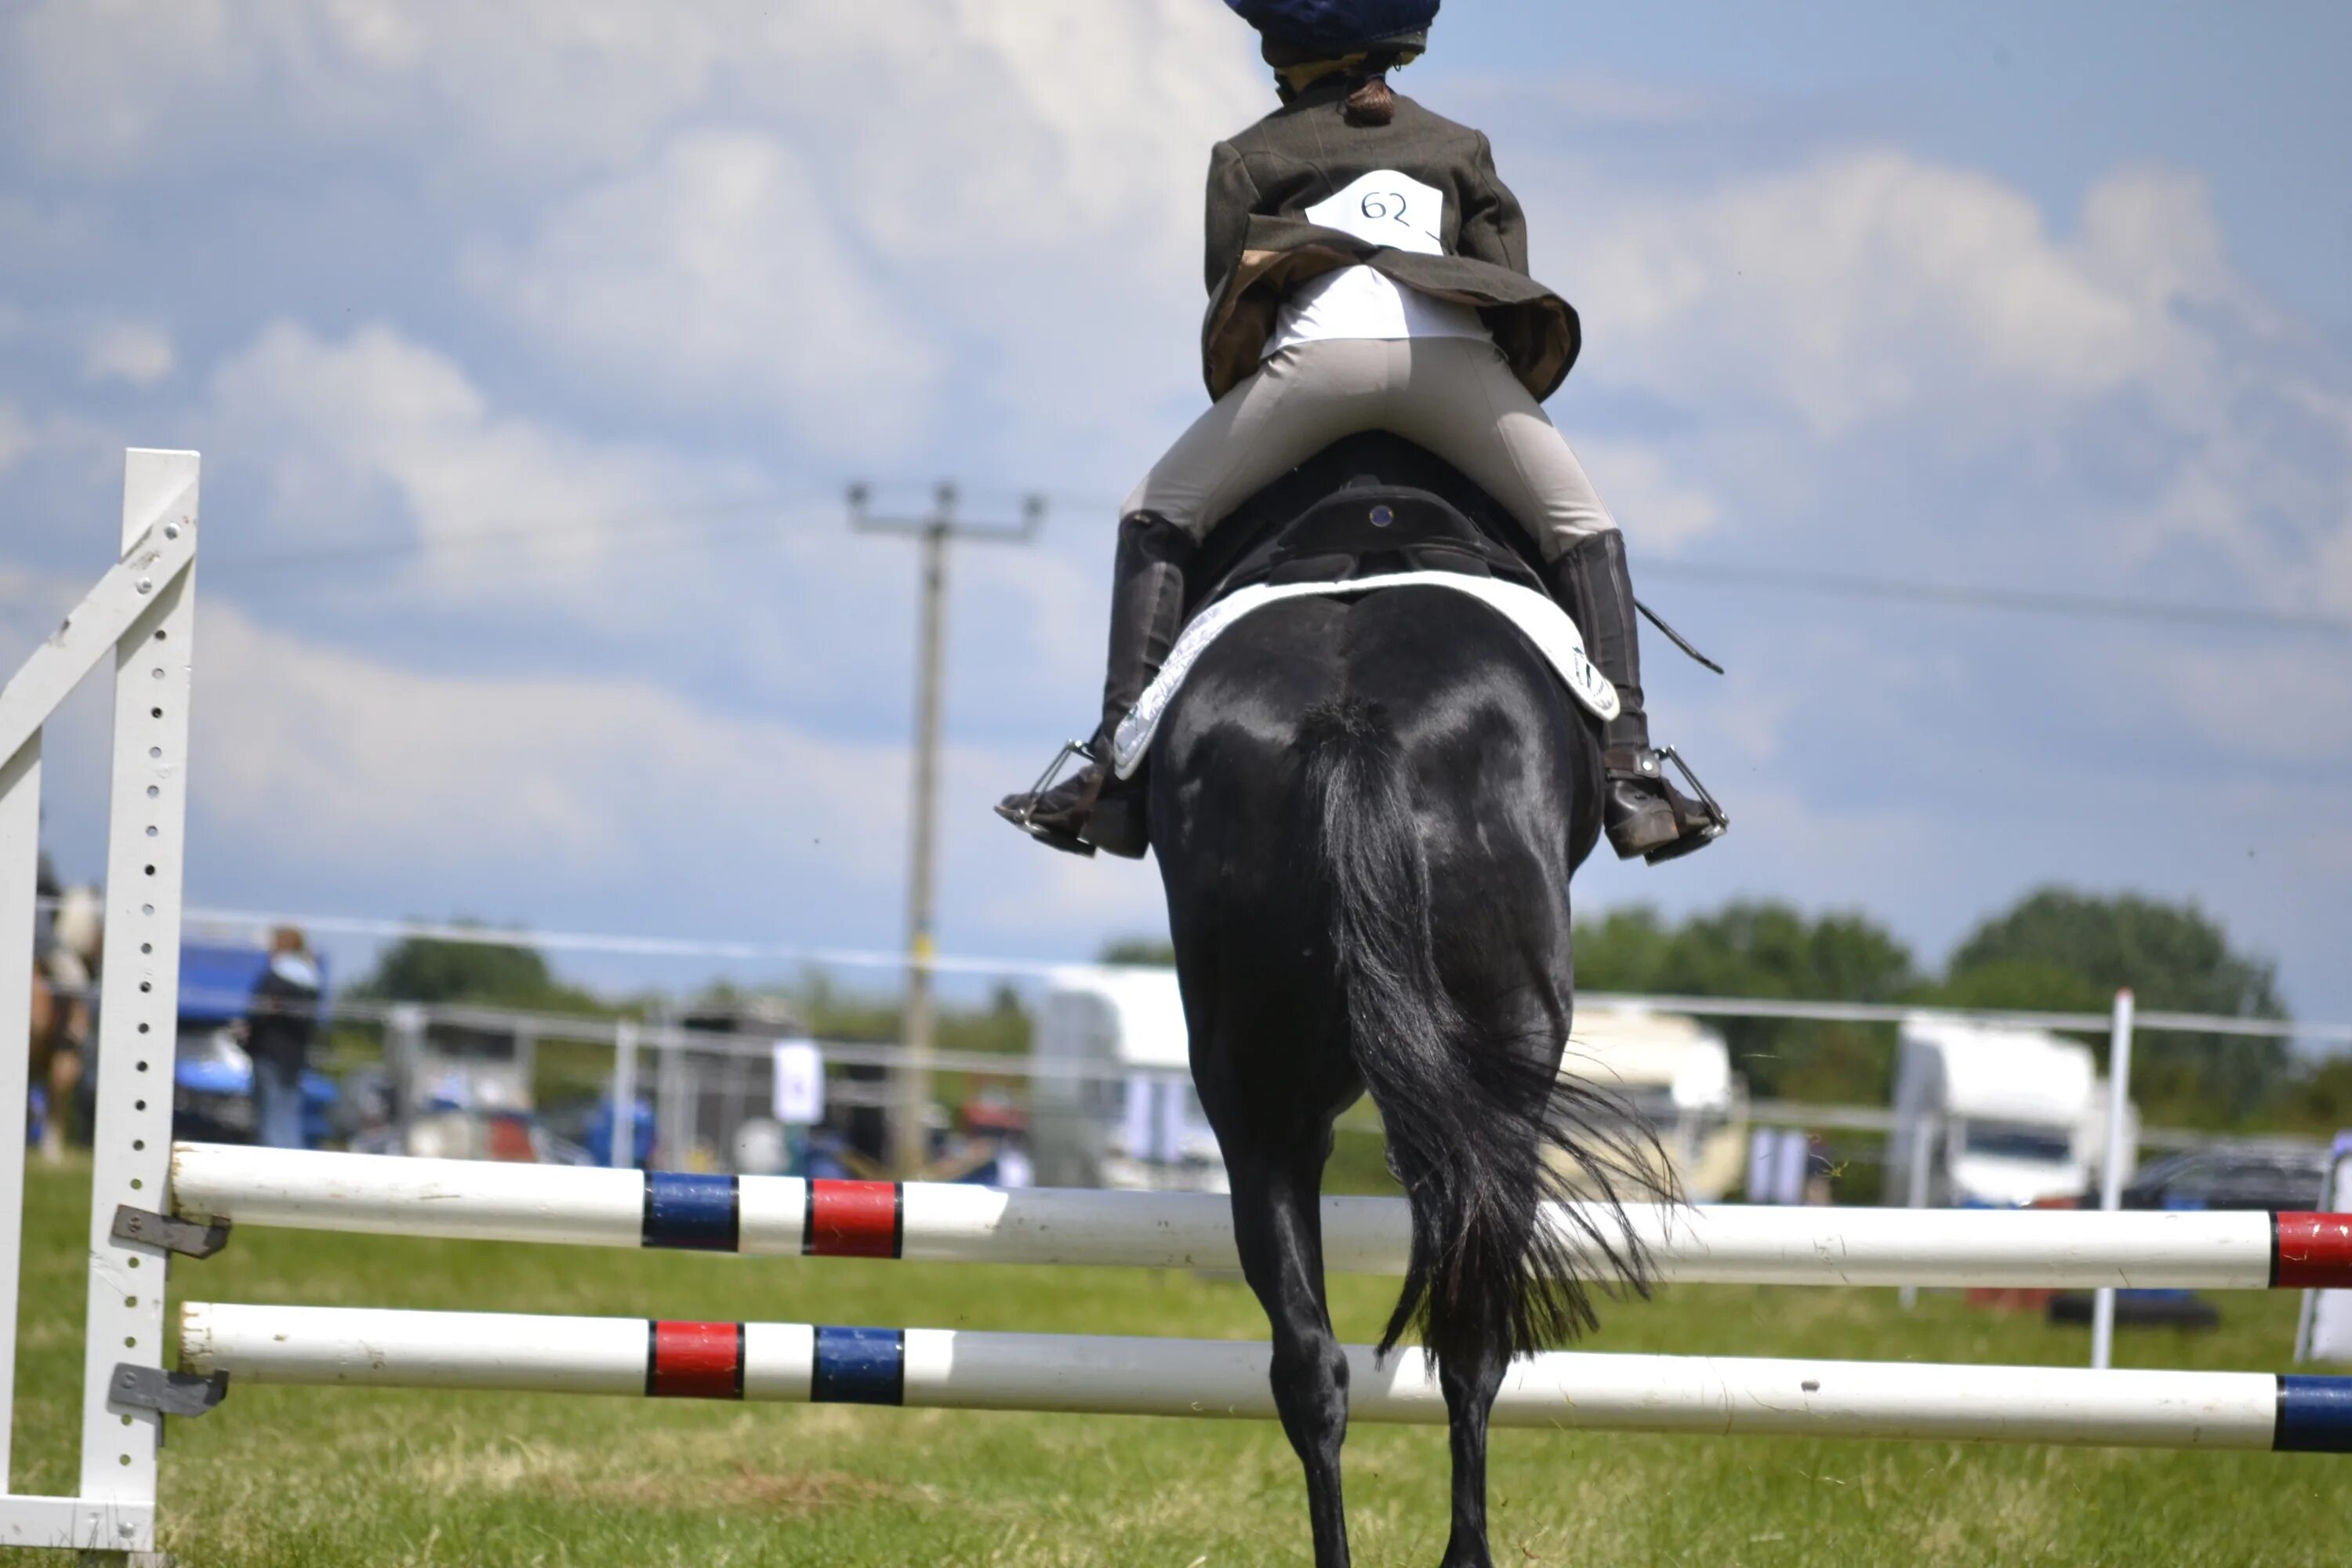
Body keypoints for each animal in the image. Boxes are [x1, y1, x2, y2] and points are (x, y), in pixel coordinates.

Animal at [1143, 434, 1665, 1568]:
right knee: (1471, 1332)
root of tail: (1354, 723)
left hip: (1254, 1095)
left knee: (1309, 1362)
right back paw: (1466, 1553)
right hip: (1503, 1078)